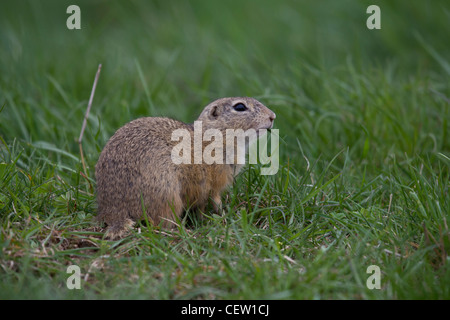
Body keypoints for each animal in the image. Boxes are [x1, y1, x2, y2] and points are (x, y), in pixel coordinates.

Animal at [96, 96, 274, 239]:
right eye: (240, 107)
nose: (272, 116)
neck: (215, 137)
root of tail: (114, 211)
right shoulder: (216, 181)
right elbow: (216, 200)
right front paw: (225, 216)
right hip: (168, 196)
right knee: (162, 224)